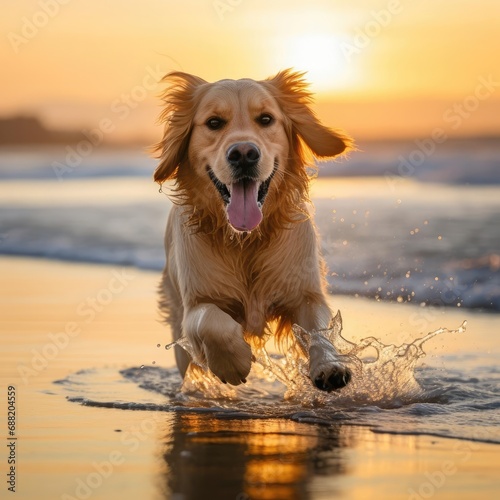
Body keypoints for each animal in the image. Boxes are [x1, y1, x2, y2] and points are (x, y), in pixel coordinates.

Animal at [154, 69, 354, 390]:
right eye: (214, 123)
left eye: (266, 119)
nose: (244, 153)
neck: (245, 240)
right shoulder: (196, 303)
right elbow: (210, 320)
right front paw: (233, 361)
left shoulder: (305, 292)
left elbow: (319, 330)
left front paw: (329, 366)